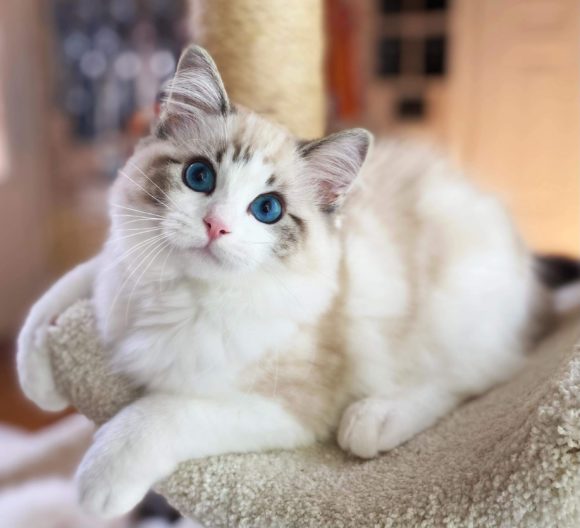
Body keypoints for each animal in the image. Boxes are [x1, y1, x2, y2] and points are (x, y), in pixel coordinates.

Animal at [17, 44, 552, 516]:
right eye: (199, 177)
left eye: (267, 210)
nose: (215, 225)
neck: (184, 295)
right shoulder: (119, 264)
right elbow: (52, 300)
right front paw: (39, 382)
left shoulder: (287, 408)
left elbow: (161, 412)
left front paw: (98, 481)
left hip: (449, 312)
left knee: (474, 377)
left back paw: (373, 422)